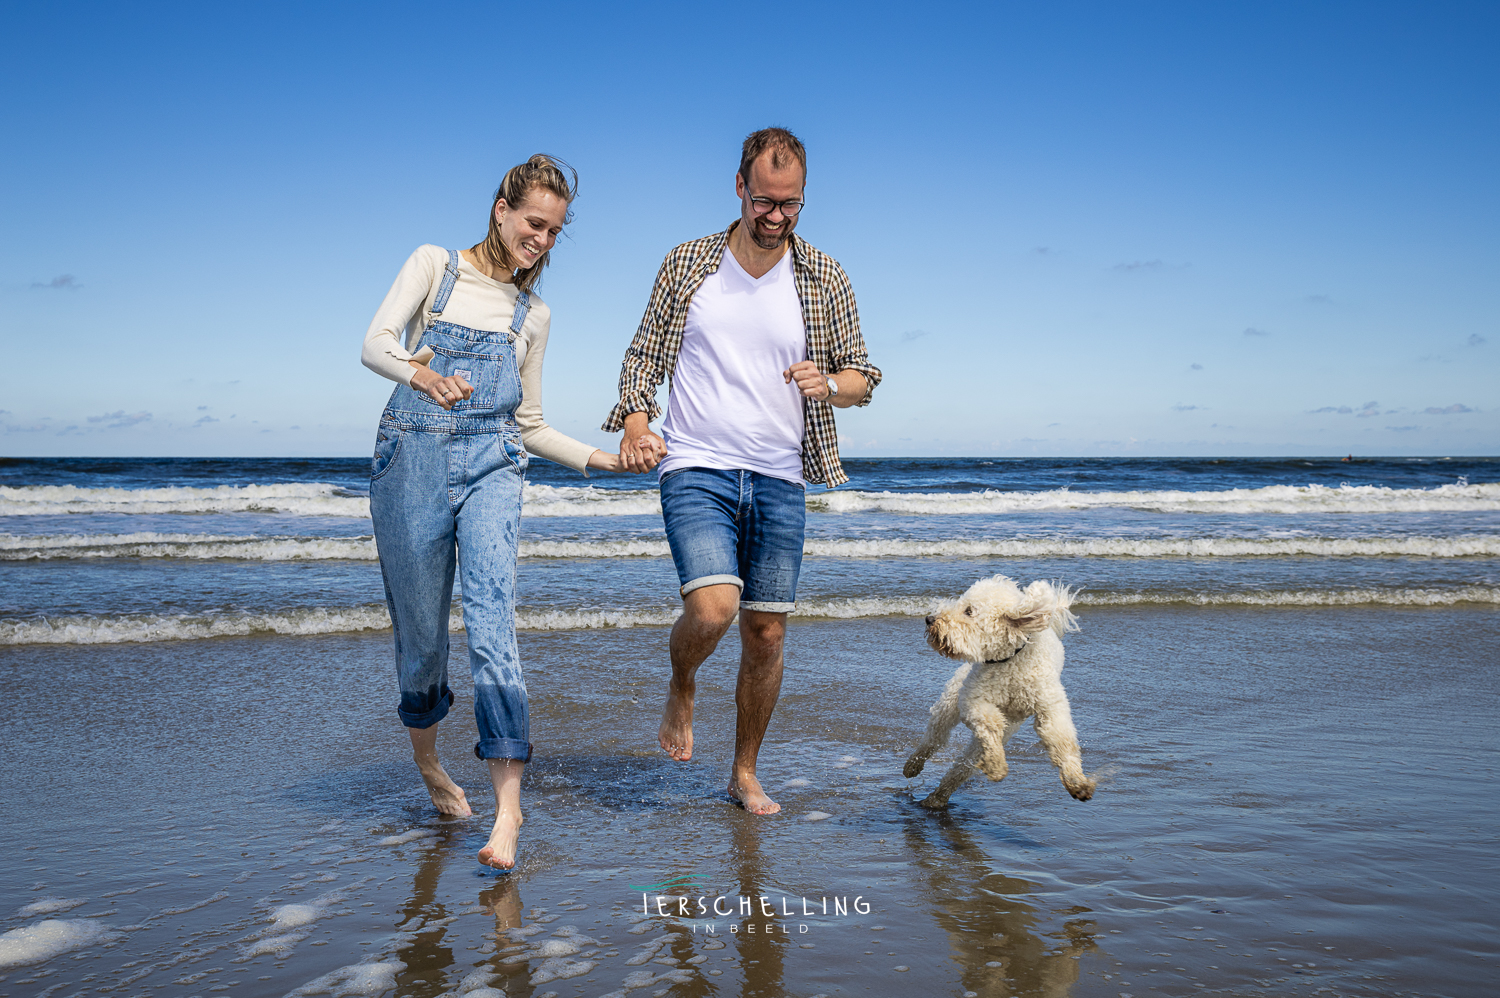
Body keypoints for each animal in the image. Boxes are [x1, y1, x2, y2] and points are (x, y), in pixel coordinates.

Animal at [900, 576, 1104, 810]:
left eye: (969, 611)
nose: (929, 618)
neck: (1010, 660)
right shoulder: (973, 699)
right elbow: (991, 724)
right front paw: (997, 765)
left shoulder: (1049, 707)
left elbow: (1062, 741)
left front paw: (1077, 782)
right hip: (951, 701)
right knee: (935, 737)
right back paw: (914, 766)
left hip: (1006, 726)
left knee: (964, 763)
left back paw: (939, 796)